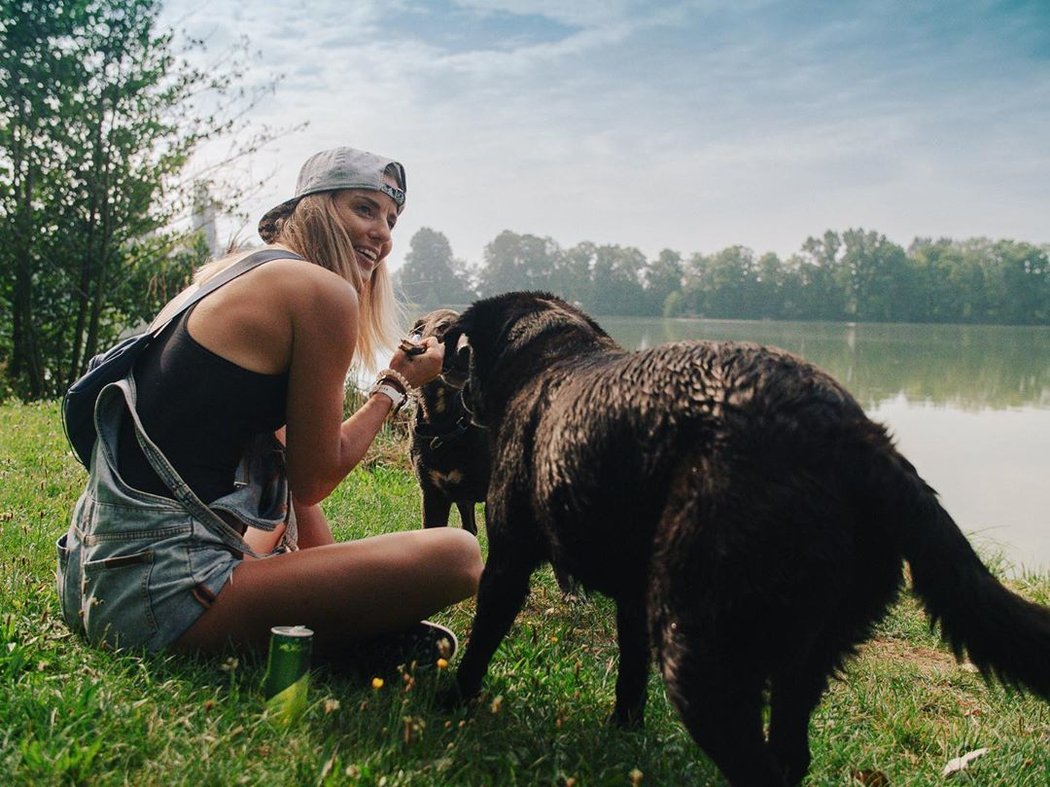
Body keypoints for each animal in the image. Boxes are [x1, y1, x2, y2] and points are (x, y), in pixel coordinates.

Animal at [440, 293, 1050, 787]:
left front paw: (448, 706)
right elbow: (631, 674)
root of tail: (857, 439)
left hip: (700, 650)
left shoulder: (508, 560)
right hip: (805, 655)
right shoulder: (635, 599)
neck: (552, 361)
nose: (458, 390)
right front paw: (622, 731)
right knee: (791, 757)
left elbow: (482, 641)